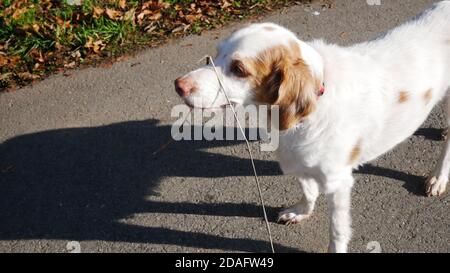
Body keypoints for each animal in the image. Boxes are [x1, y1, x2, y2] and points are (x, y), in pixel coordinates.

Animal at [173, 1, 450, 252]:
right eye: (215, 54)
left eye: (239, 69)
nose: (178, 85)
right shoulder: (299, 161)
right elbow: (307, 190)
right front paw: (300, 212)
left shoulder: (338, 183)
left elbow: (337, 232)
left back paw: (438, 177)